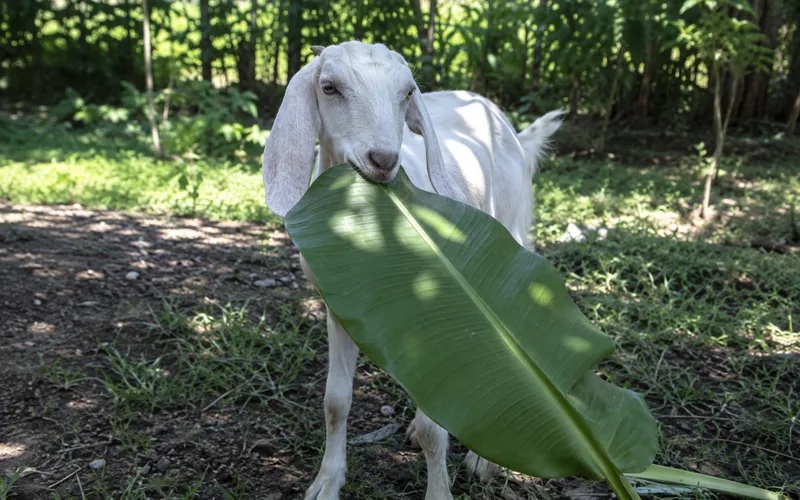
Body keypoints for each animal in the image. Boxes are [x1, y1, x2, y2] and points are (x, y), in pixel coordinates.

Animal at [262, 41, 563, 500]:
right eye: (329, 87)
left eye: (406, 93)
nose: (383, 159)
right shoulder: (341, 307)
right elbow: (335, 401)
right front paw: (326, 482)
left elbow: (432, 430)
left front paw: (440, 489)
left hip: (507, 241)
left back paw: (486, 460)